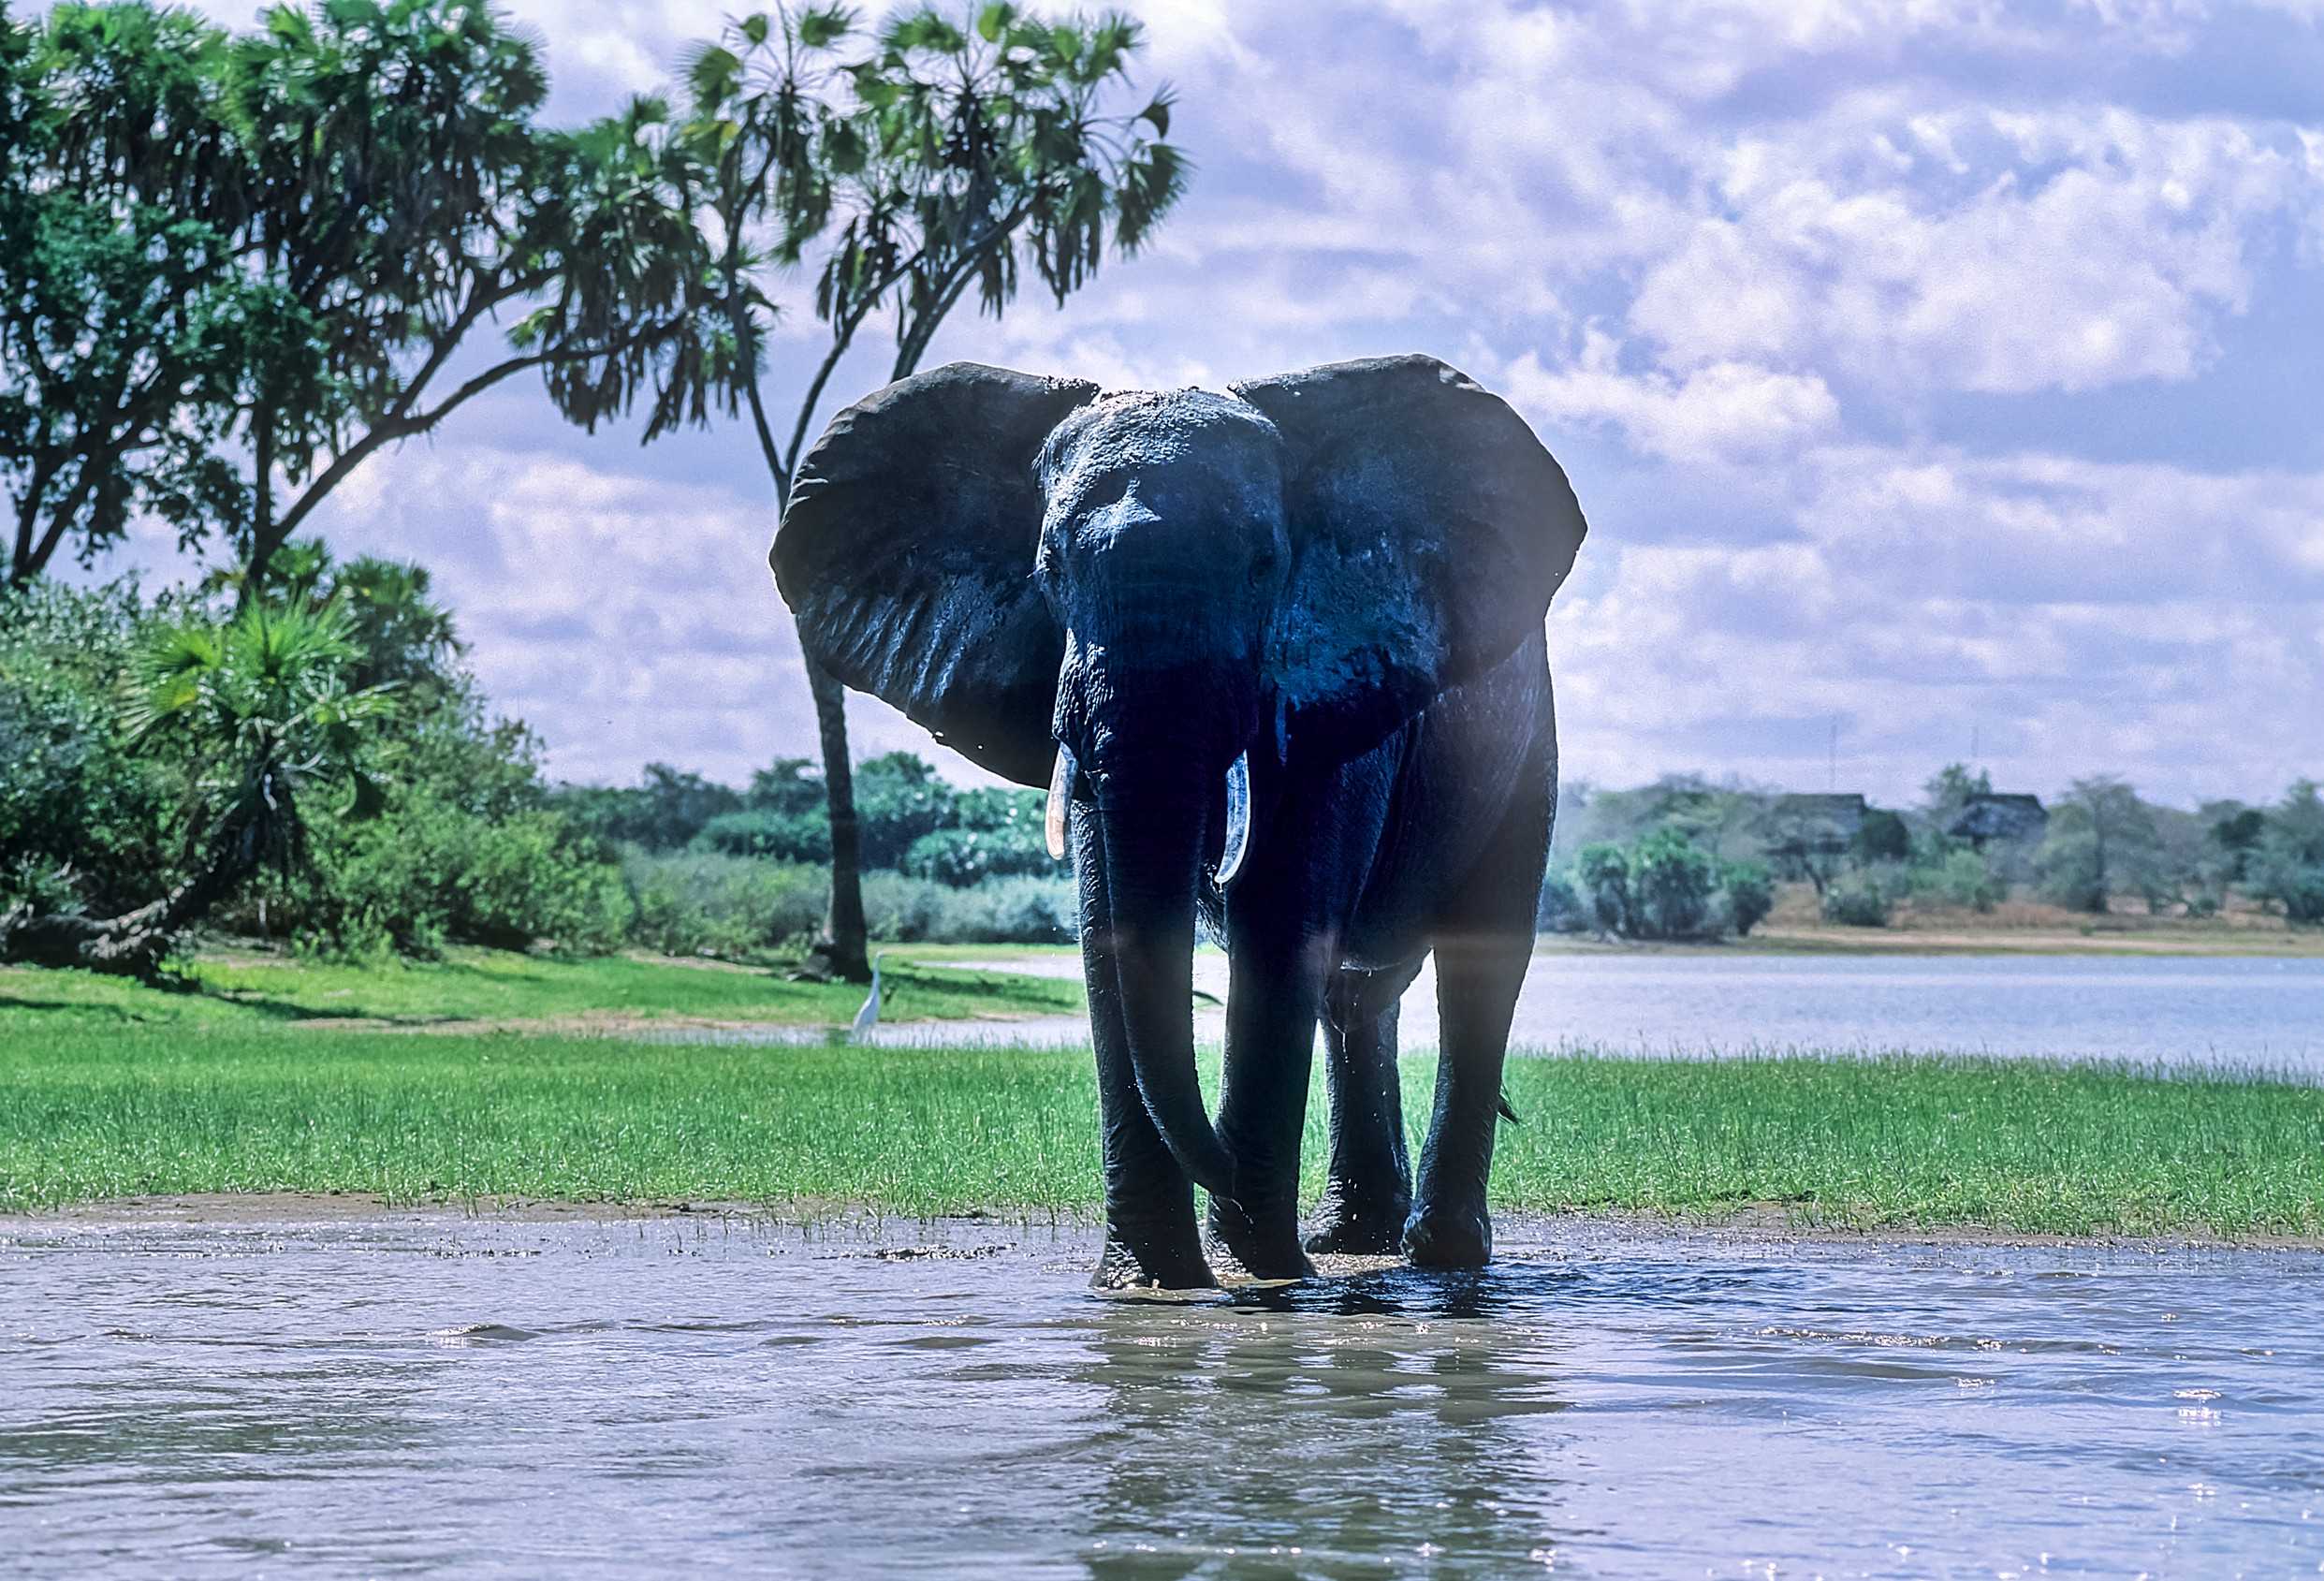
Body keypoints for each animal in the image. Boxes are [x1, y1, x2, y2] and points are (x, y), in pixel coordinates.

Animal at [772, 354, 1589, 1289]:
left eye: (1265, 563)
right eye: (1049, 564)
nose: (1227, 1170)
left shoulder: (1327, 690)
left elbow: (1278, 921)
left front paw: (1260, 1271)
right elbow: (1107, 930)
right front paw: (1151, 1283)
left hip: (1528, 745)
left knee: (1480, 960)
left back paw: (1436, 1254)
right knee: (1355, 993)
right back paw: (1347, 1239)